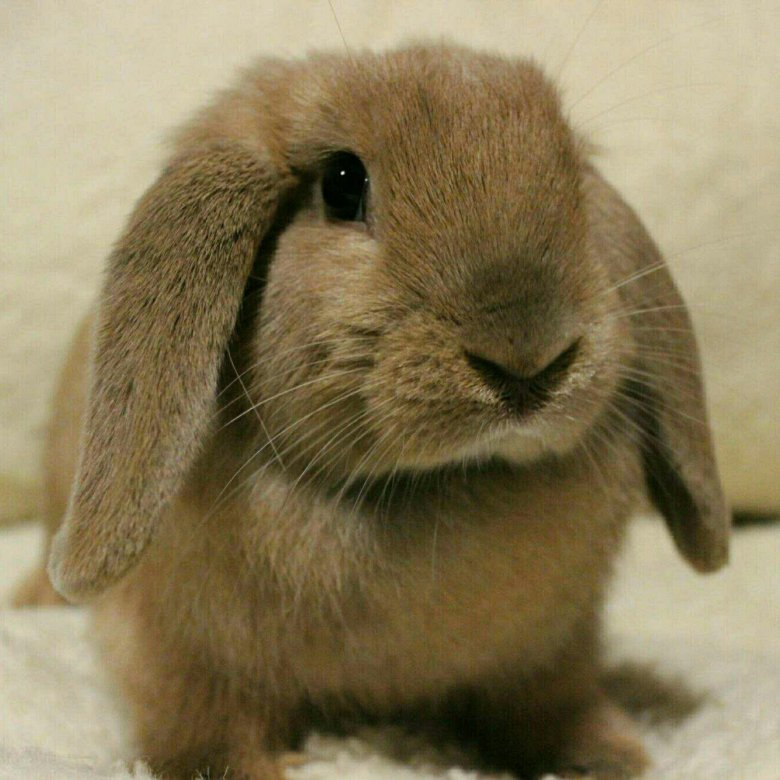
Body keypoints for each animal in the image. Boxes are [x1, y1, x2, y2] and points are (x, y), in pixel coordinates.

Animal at [16, 43, 730, 779]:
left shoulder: (553, 653)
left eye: (573, 180)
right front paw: (236, 768)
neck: (423, 489)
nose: (528, 358)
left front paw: (607, 755)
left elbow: (551, 707)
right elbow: (200, 725)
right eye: (341, 184)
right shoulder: (179, 652)